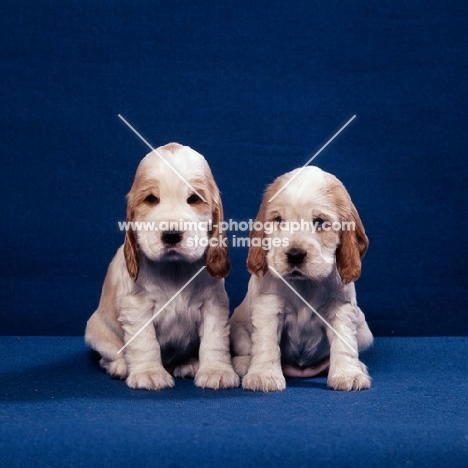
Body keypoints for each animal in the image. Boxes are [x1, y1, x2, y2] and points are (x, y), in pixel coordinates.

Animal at [84, 144, 239, 392]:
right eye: (151, 199)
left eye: (194, 199)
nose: (172, 235)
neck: (174, 269)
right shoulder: (137, 307)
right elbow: (144, 342)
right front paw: (149, 373)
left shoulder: (213, 303)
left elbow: (214, 339)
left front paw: (216, 371)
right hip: (97, 330)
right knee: (108, 355)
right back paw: (120, 366)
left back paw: (188, 363)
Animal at [230, 166, 372, 394]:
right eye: (279, 220)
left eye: (320, 222)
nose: (295, 255)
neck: (306, 284)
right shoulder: (269, 307)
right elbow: (266, 343)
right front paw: (263, 376)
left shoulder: (340, 308)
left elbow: (344, 341)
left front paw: (348, 374)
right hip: (238, 330)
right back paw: (243, 364)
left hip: (364, 330)